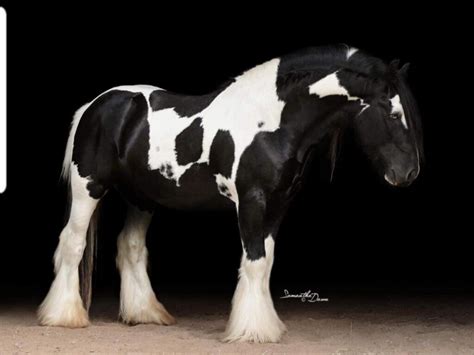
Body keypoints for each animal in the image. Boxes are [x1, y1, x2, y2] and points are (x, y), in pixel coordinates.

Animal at [37, 43, 422, 344]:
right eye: (392, 112)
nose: (408, 173)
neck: (271, 122)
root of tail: (95, 105)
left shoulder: (278, 205)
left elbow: (266, 262)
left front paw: (265, 325)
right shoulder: (251, 201)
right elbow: (254, 262)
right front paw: (253, 331)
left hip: (141, 199)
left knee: (129, 247)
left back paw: (145, 313)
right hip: (88, 188)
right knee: (72, 244)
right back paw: (63, 316)